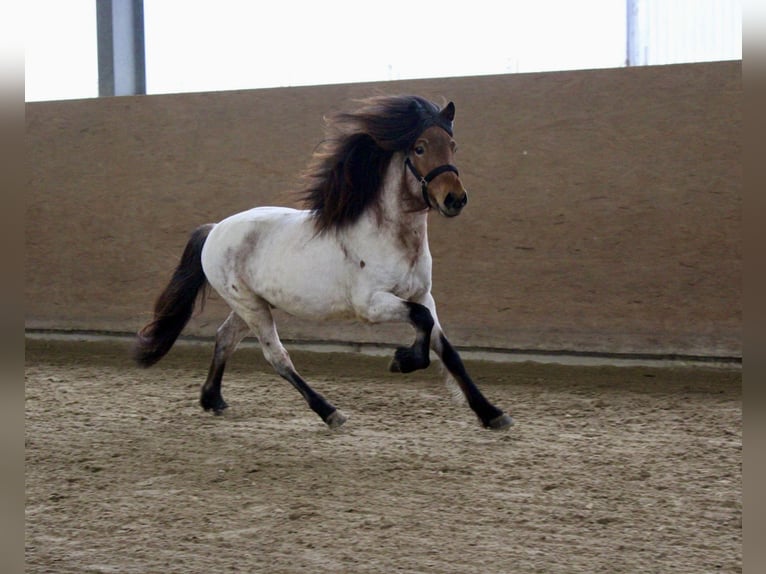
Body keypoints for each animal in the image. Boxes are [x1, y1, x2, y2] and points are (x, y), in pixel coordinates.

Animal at [133, 95, 513, 431]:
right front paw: (402, 361)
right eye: (419, 147)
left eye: (452, 145)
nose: (455, 199)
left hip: (251, 304)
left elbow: (446, 349)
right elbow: (421, 322)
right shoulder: (371, 304)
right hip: (250, 306)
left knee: (226, 337)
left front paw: (492, 414)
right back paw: (330, 412)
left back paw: (212, 399)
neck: (393, 238)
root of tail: (215, 229)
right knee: (277, 356)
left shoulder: (422, 295)